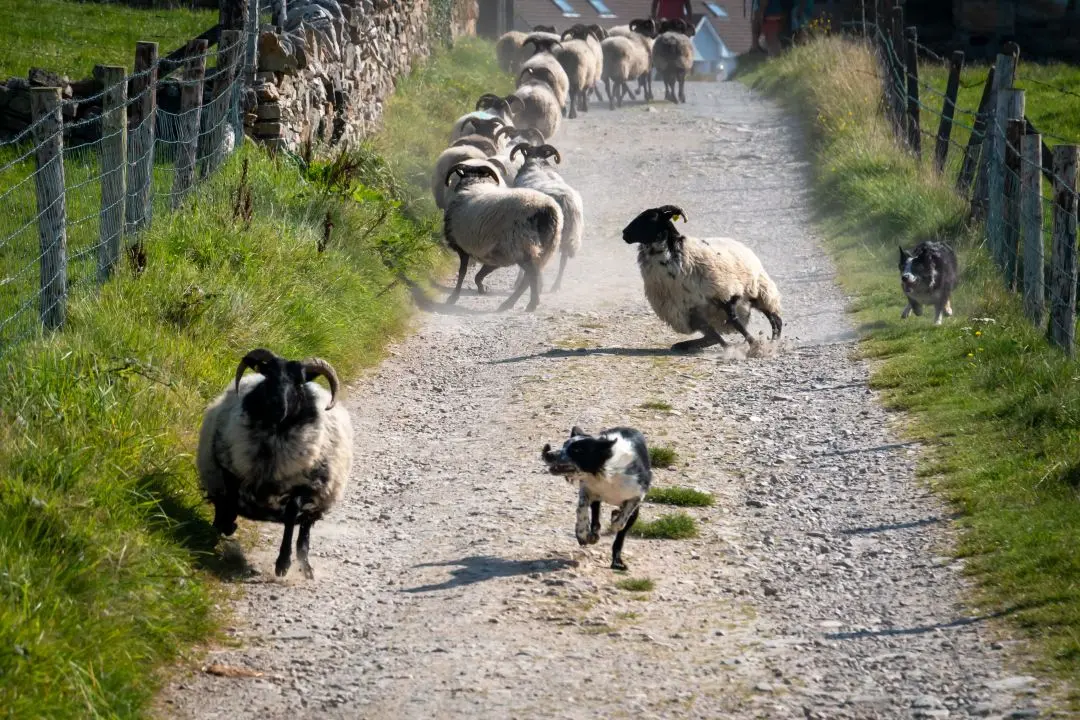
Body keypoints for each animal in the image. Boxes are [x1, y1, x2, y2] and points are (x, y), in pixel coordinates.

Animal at [196, 349, 352, 578]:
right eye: (268, 376)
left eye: (299, 382)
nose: (278, 406)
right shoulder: (229, 470)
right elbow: (230, 501)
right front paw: (223, 528)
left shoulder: (303, 485)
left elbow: (291, 517)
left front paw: (283, 563)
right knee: (222, 501)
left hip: (320, 495)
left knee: (304, 530)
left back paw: (305, 567)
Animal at [540, 425, 648, 569]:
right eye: (564, 445)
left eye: (577, 450)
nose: (549, 454)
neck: (604, 472)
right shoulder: (588, 490)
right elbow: (581, 510)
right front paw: (582, 533)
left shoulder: (638, 494)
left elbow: (621, 521)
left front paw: (615, 522)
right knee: (596, 519)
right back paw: (593, 535)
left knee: (620, 533)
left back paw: (617, 561)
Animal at [622, 204, 781, 354]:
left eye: (651, 218)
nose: (624, 233)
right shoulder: (688, 311)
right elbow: (714, 334)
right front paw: (731, 350)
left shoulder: (724, 295)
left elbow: (735, 322)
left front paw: (756, 347)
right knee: (711, 336)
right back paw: (683, 345)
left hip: (759, 291)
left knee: (776, 320)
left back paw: (774, 343)